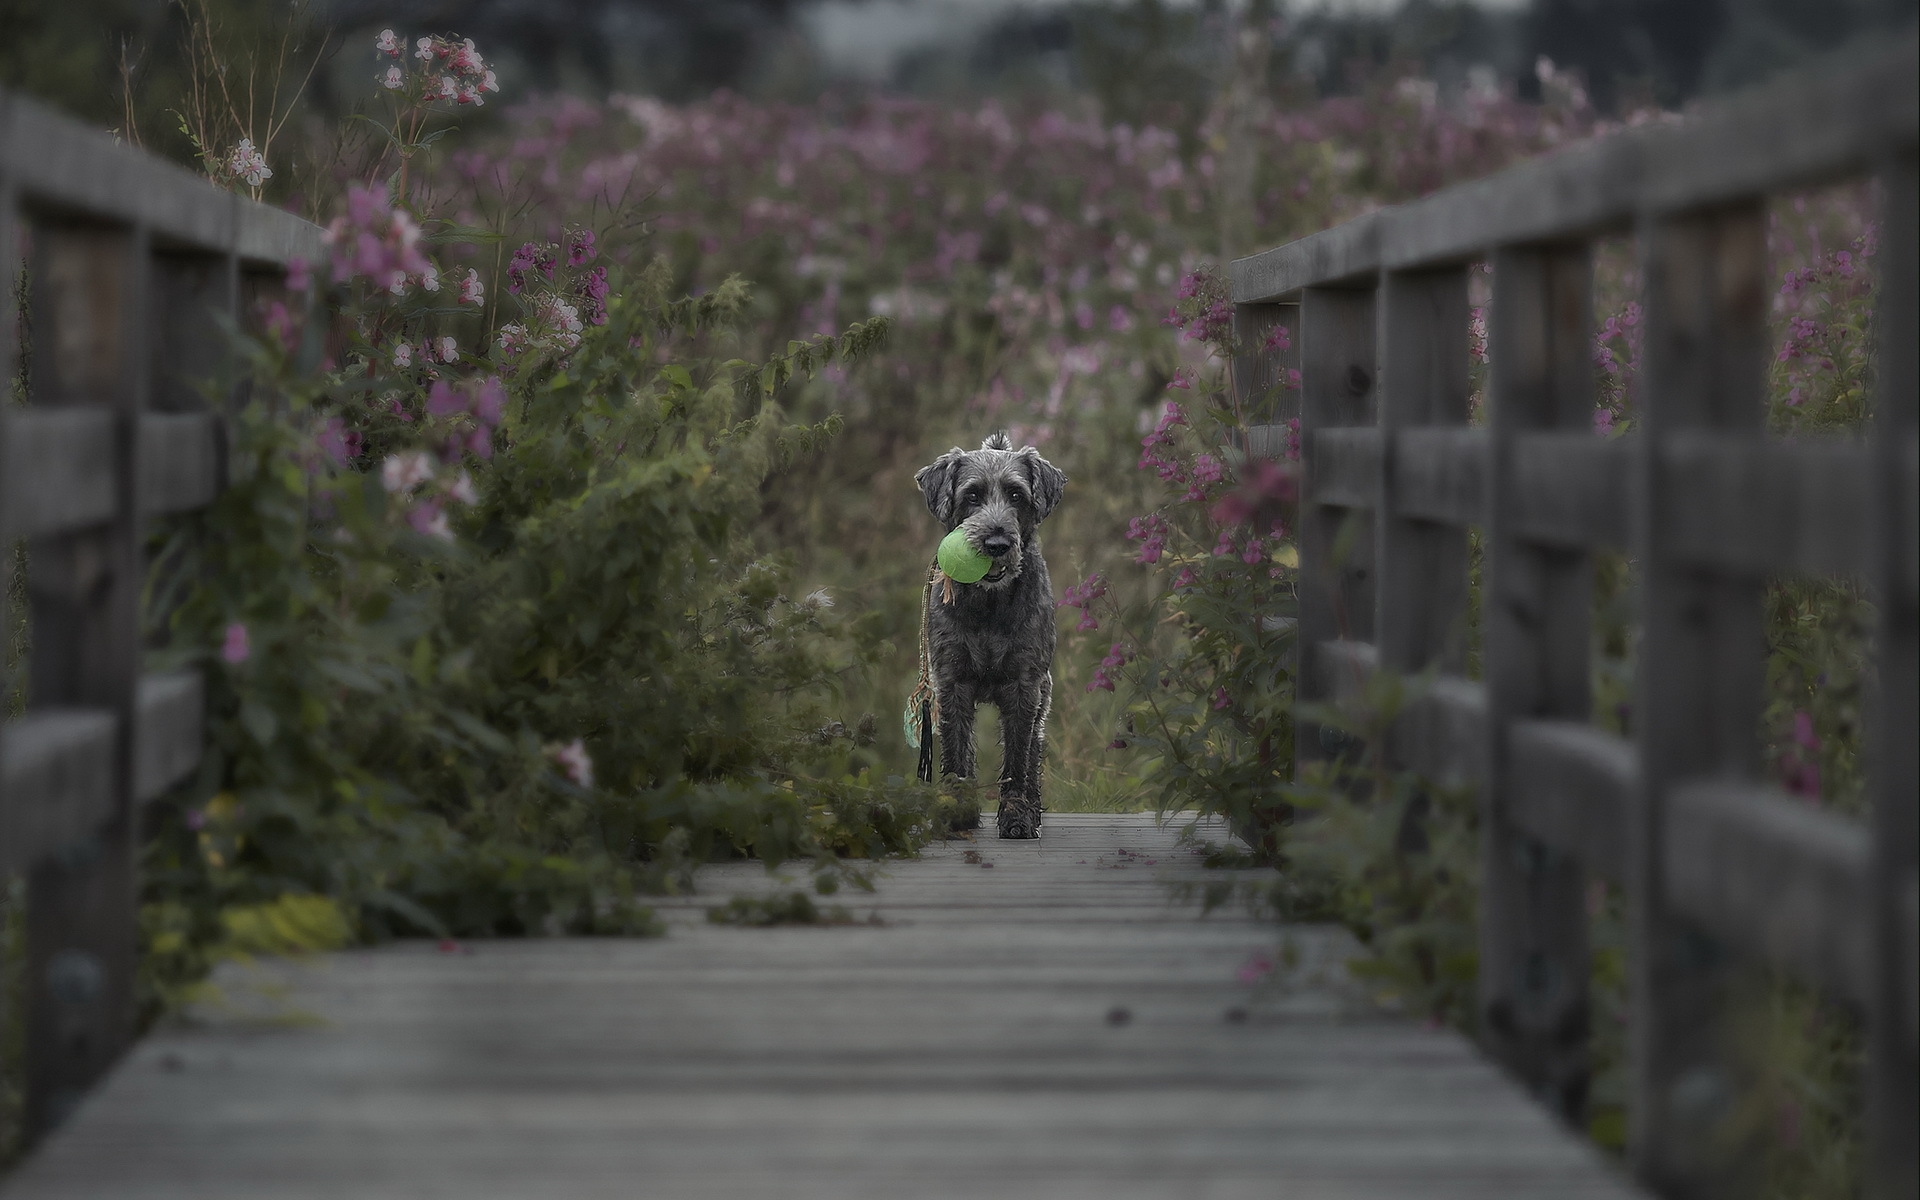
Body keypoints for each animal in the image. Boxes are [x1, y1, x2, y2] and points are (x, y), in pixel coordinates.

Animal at [910, 435, 1067, 837]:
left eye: (1015, 495)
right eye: (972, 496)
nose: (996, 544)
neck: (989, 604)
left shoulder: (1024, 686)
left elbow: (1017, 758)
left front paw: (1017, 815)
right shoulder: (952, 682)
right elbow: (956, 750)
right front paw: (955, 810)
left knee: (1032, 752)